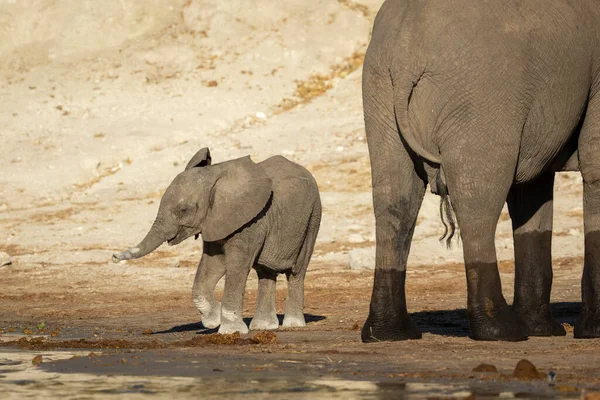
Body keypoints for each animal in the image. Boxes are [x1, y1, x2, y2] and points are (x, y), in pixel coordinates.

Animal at [112, 148, 318, 334]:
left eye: (184, 210)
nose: (114, 257)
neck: (215, 176)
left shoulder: (251, 221)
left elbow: (237, 265)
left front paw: (230, 331)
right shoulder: (216, 220)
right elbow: (213, 265)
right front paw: (213, 321)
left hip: (312, 218)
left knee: (297, 271)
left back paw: (293, 324)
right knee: (265, 272)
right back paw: (264, 326)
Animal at [360, 0, 600, 344]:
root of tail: (406, 54)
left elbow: (531, 192)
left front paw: (544, 331)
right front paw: (589, 332)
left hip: (379, 92)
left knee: (394, 201)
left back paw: (389, 333)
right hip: (482, 97)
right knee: (477, 201)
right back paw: (501, 330)